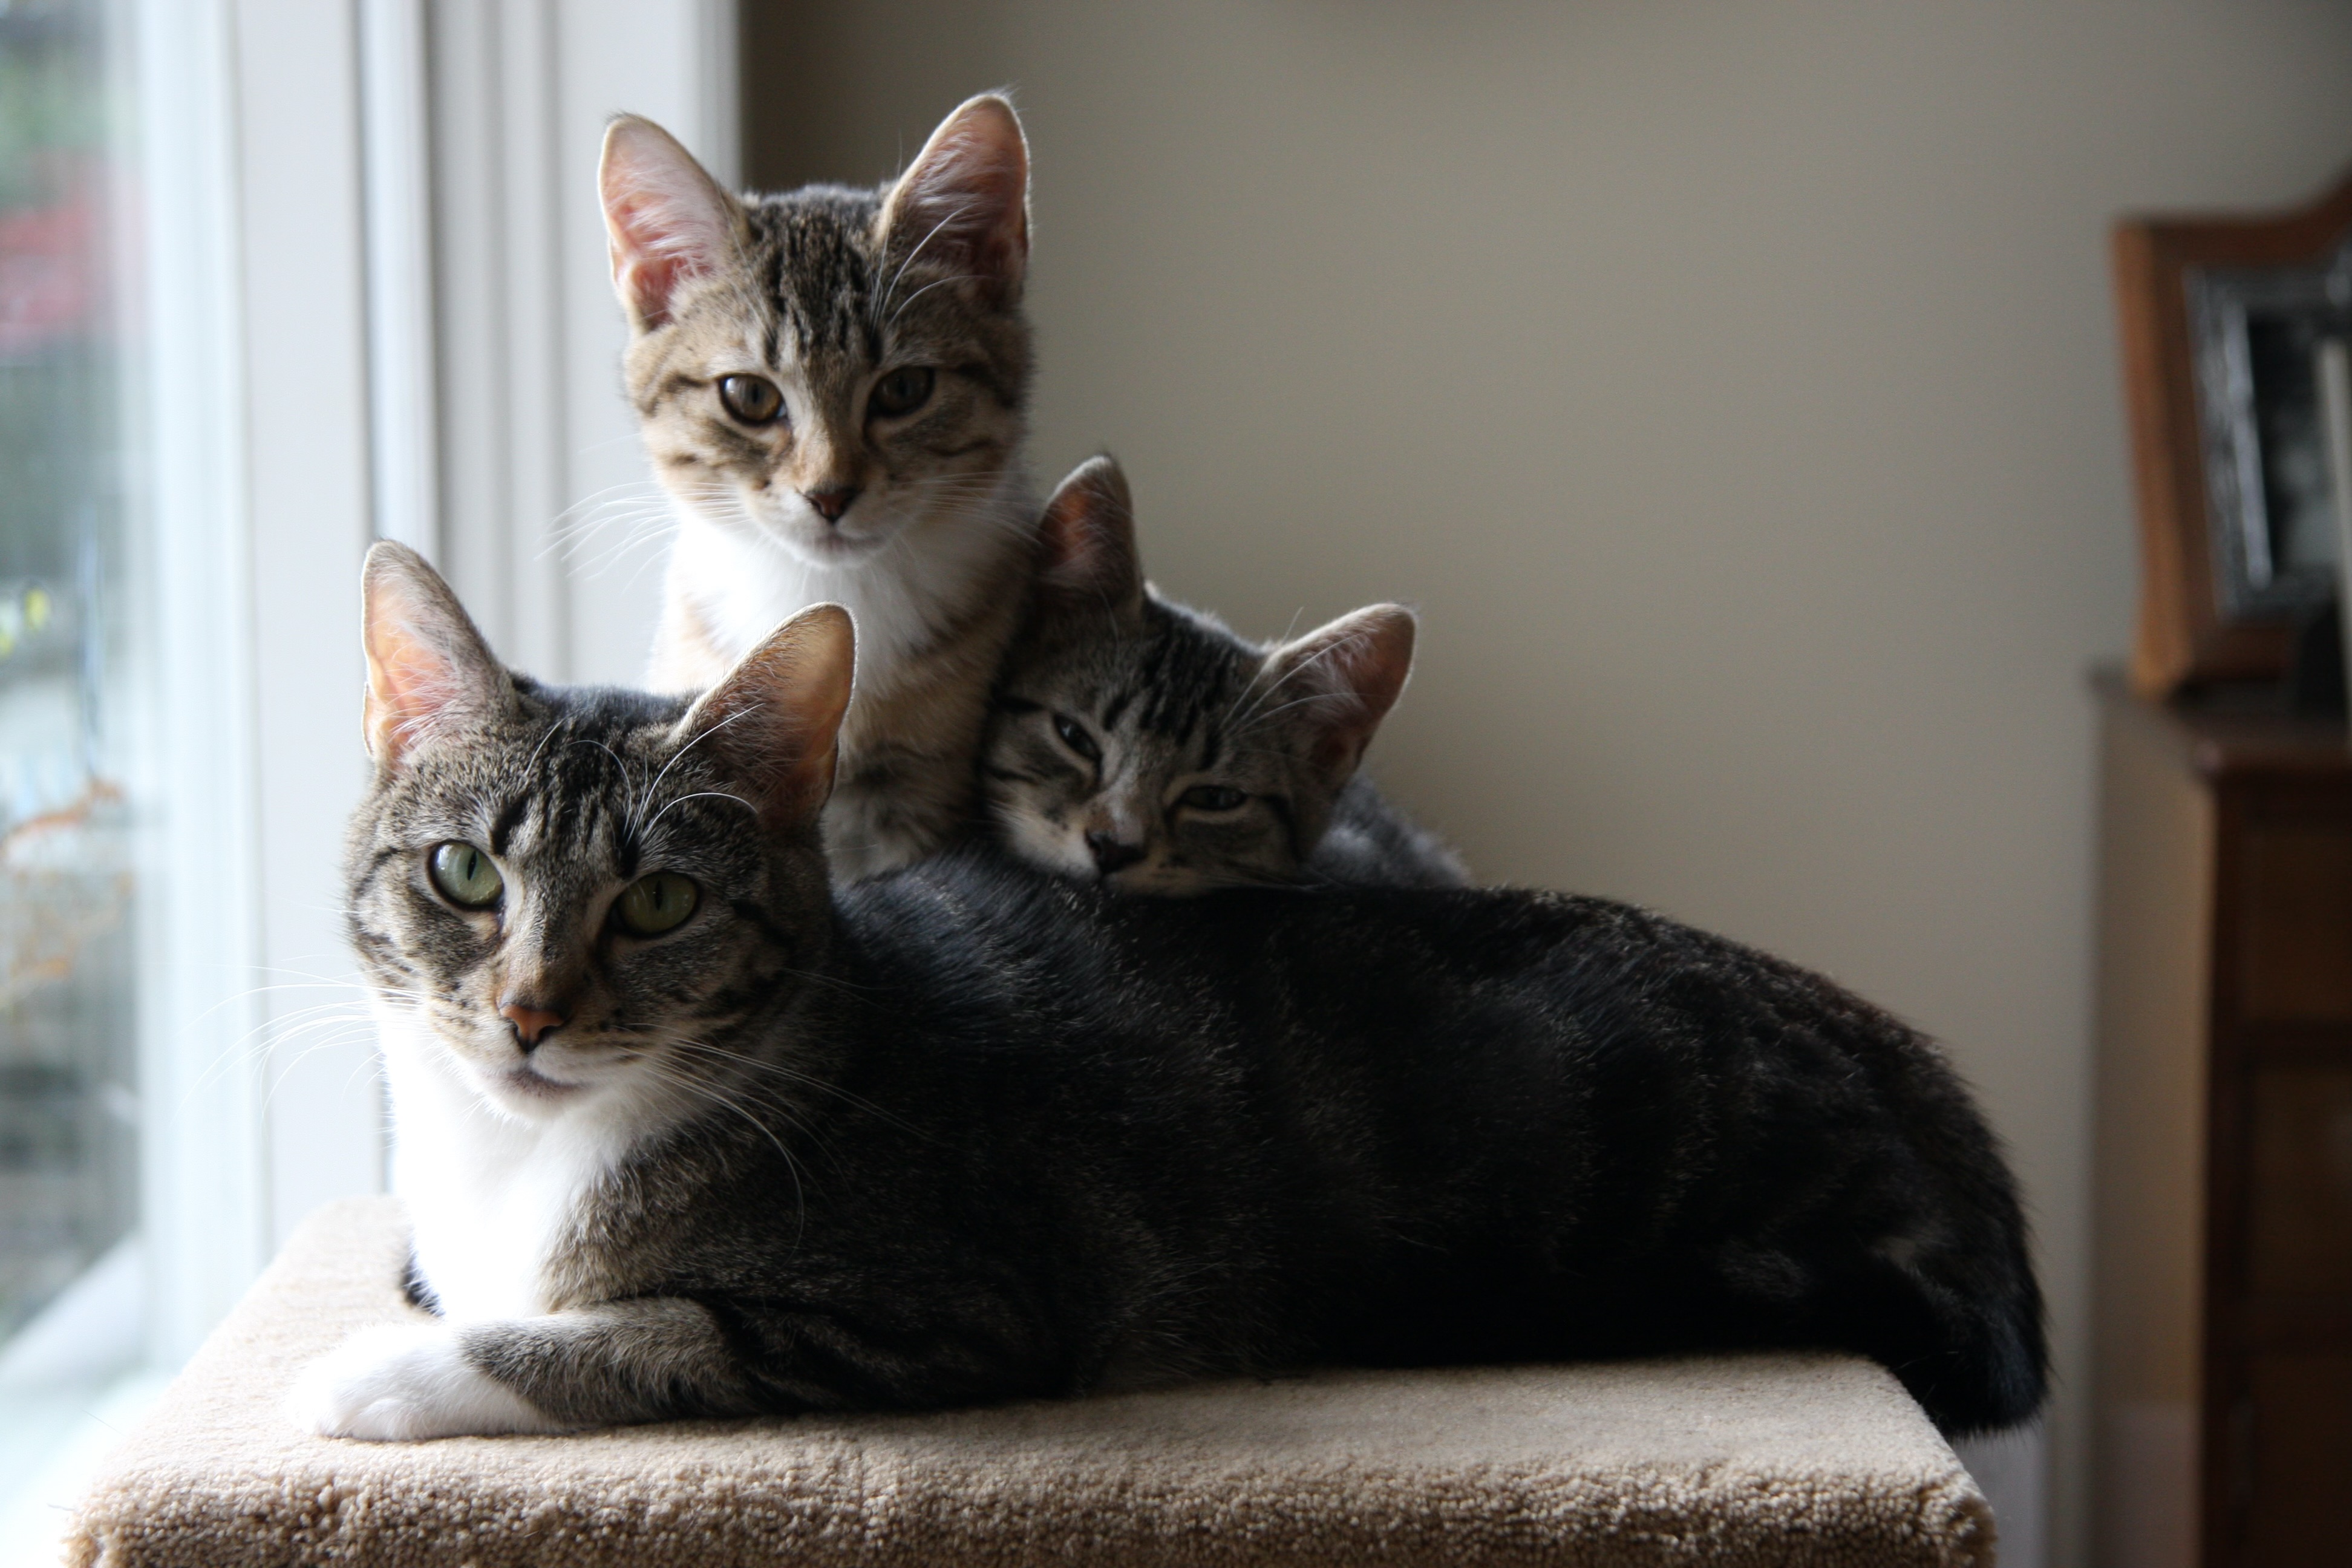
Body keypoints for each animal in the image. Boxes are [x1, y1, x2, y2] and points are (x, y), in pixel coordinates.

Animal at [290, 541, 2044, 1443]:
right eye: (463, 876)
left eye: (657, 902)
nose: (528, 1011)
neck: (513, 1166)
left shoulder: (941, 1307)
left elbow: (631, 1338)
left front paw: (380, 1376)